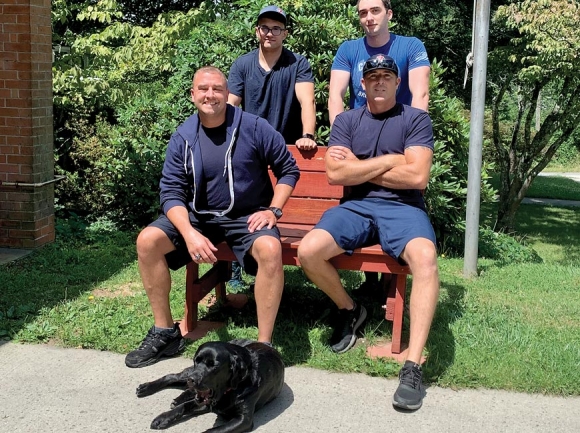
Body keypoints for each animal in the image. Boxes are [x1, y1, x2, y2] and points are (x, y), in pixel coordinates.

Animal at [134, 340, 284, 430]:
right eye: (197, 360)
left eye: (213, 366)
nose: (192, 380)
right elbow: (185, 406)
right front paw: (163, 418)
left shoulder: (243, 420)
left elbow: (213, 430)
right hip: (187, 373)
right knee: (171, 376)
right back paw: (146, 388)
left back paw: (178, 398)